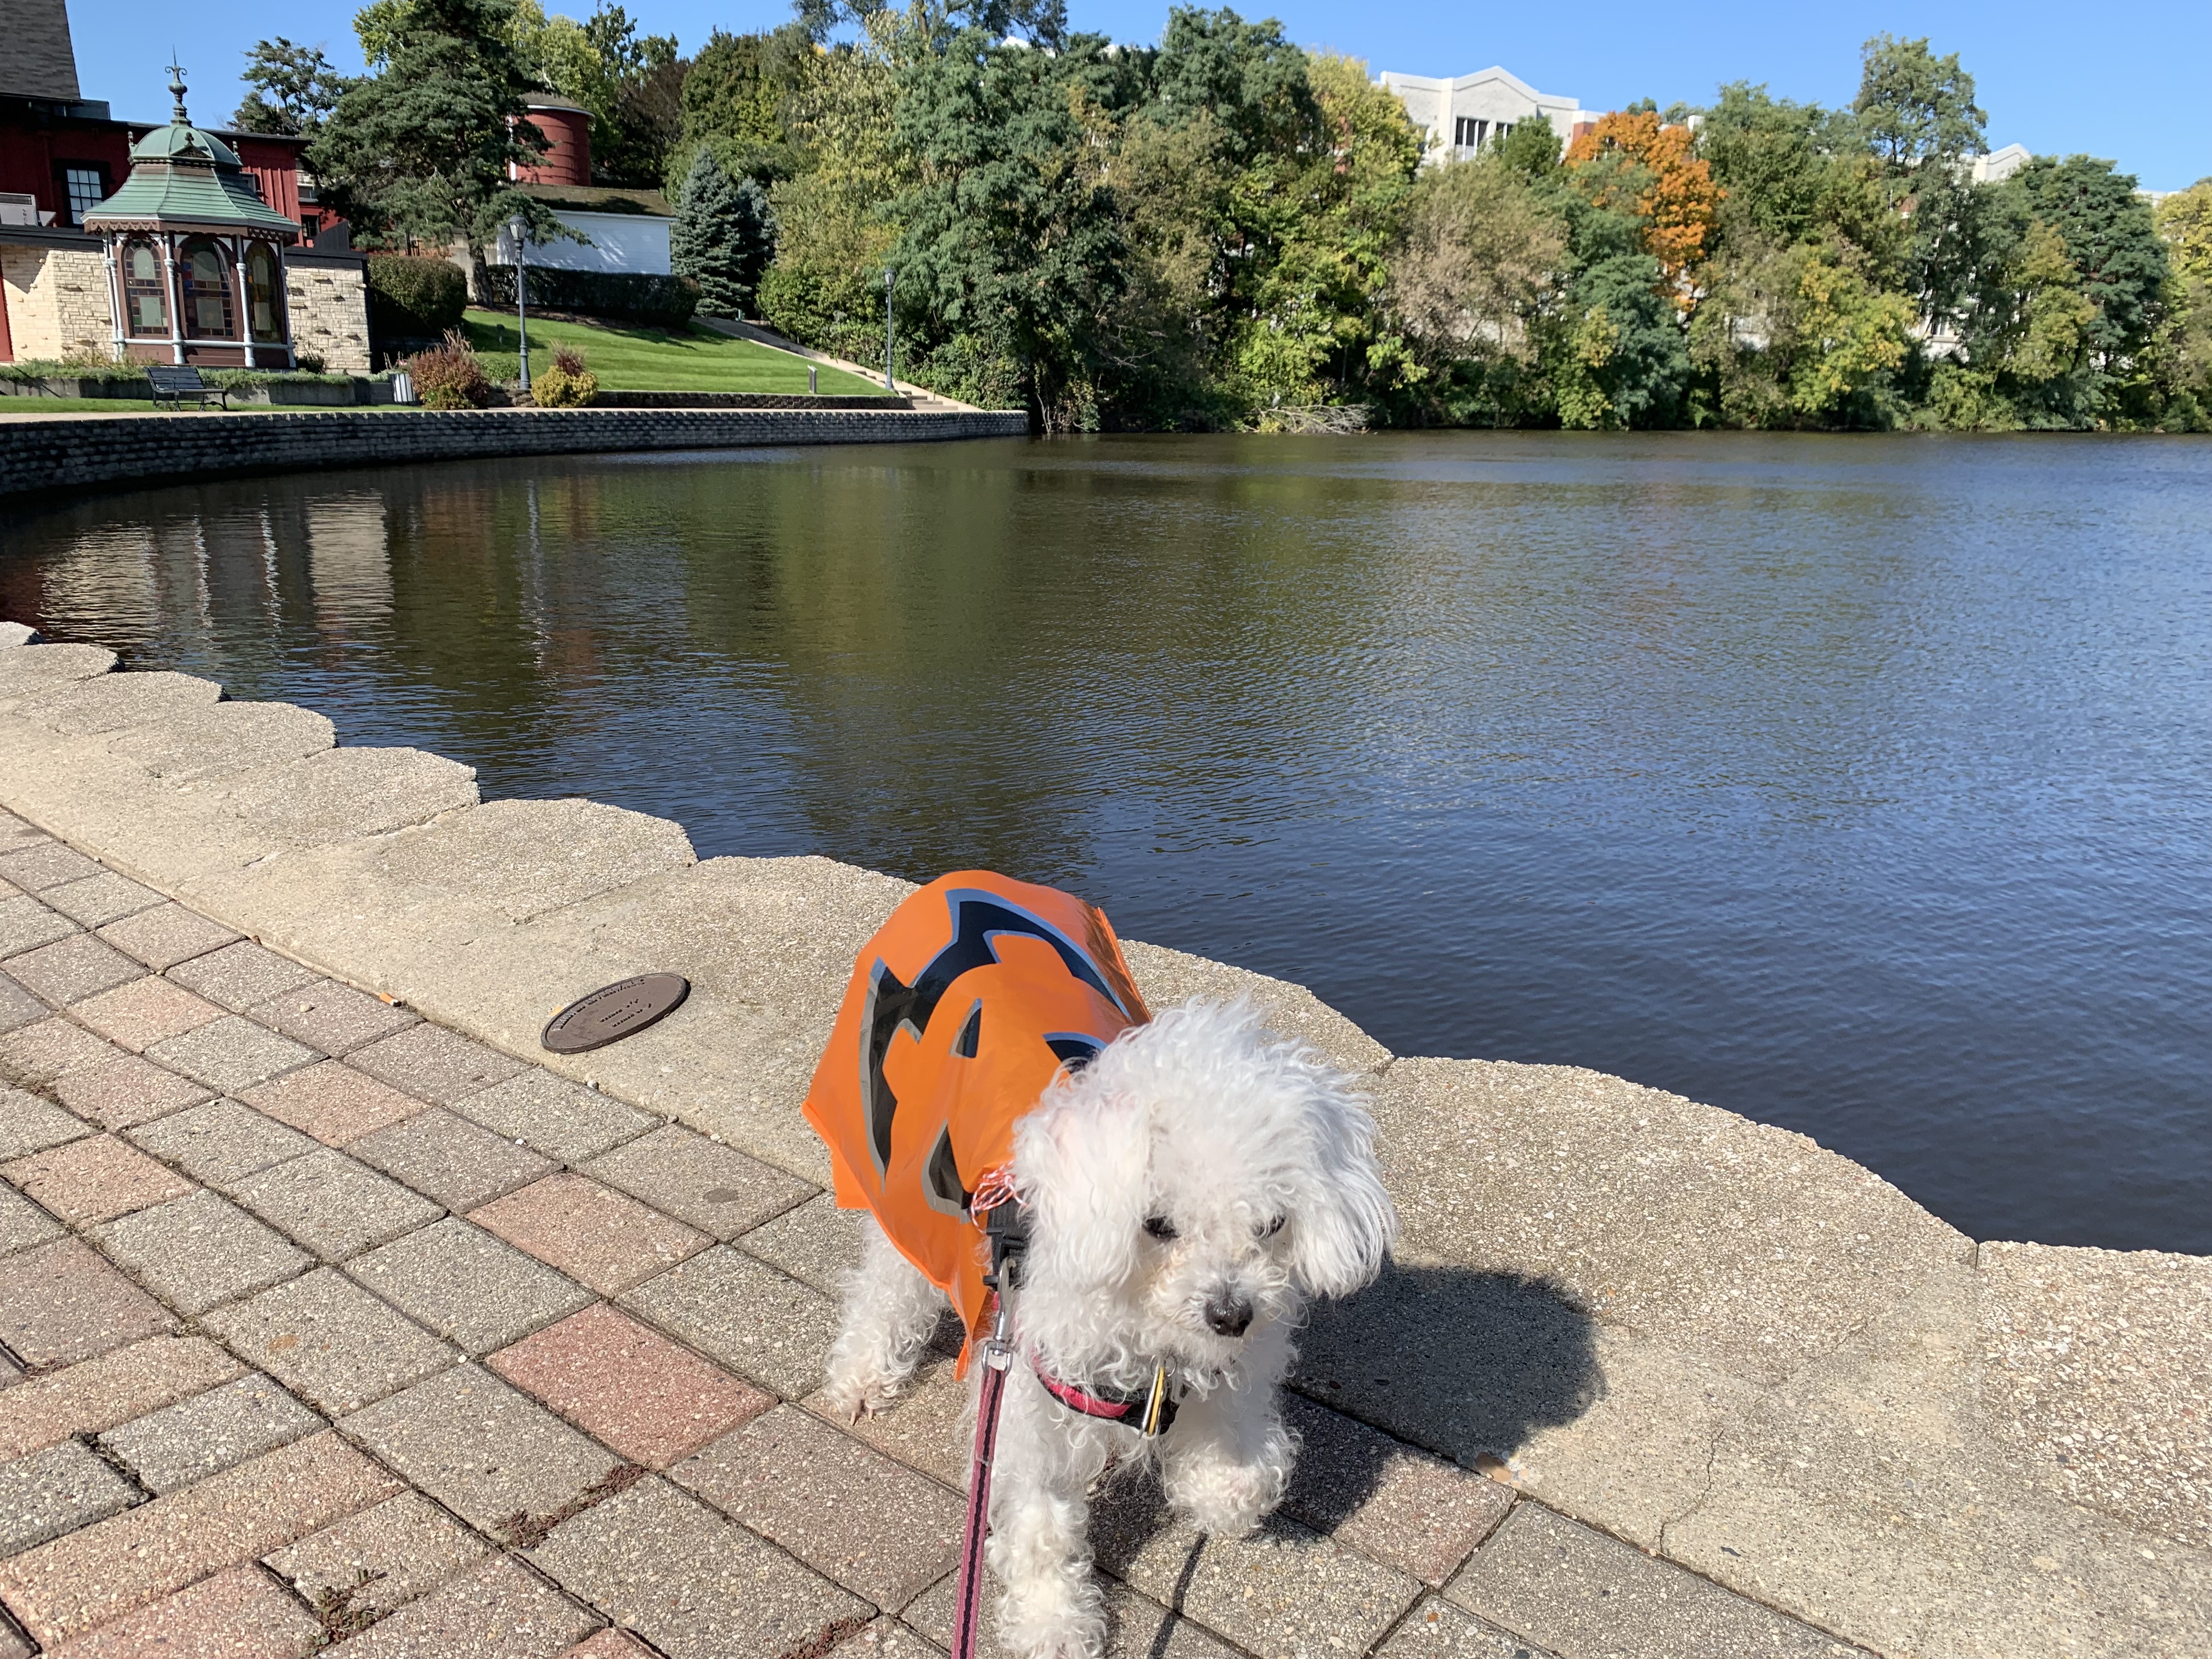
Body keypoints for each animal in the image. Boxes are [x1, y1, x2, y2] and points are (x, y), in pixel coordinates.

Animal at [822, 1000, 1389, 1659]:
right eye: (1159, 1224)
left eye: (1272, 1224)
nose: (1230, 1314)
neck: (1137, 1316)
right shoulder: (1030, 1403)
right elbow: (1040, 1526)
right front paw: (1053, 1623)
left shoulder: (1234, 1354)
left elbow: (1238, 1446)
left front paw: (1220, 1484)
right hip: (908, 1190)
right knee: (886, 1288)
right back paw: (863, 1377)